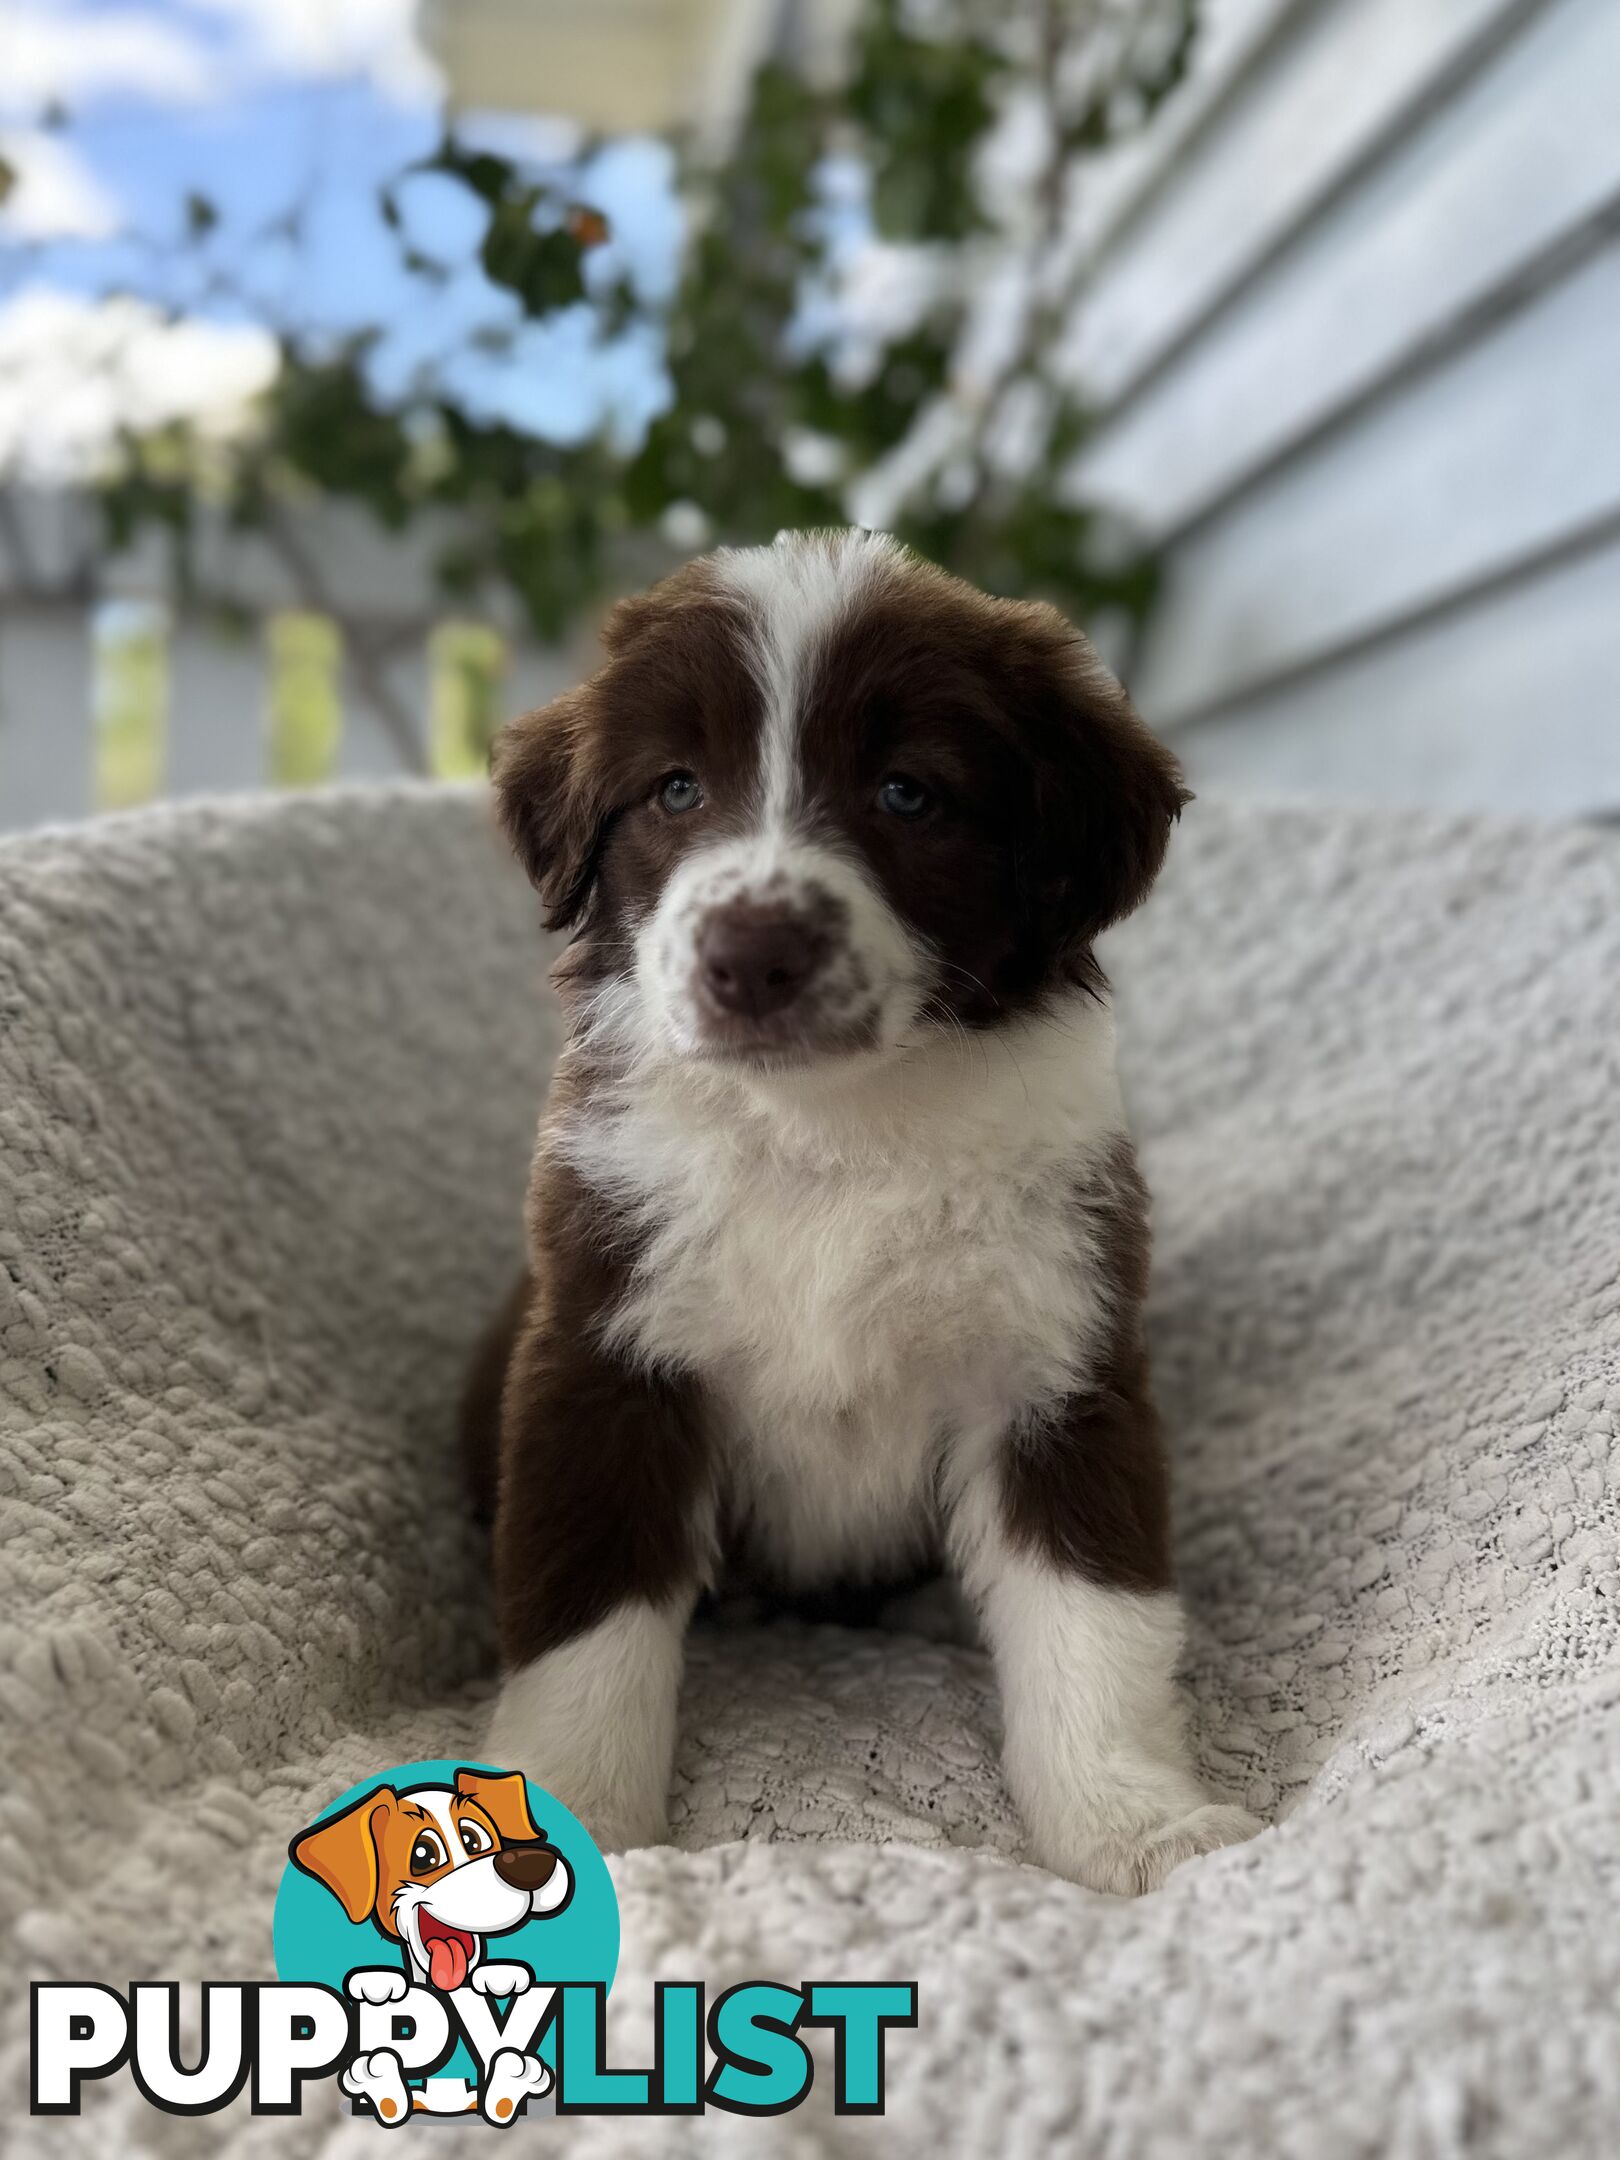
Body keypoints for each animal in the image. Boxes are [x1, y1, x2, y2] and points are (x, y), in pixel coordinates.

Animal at [462, 527, 1261, 1892]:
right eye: (676, 790)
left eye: (908, 794)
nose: (752, 954)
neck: (831, 1131)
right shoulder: (602, 1355)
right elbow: (586, 1617)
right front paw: (565, 1816)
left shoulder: (1058, 1362)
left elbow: (1095, 1616)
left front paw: (1139, 1826)